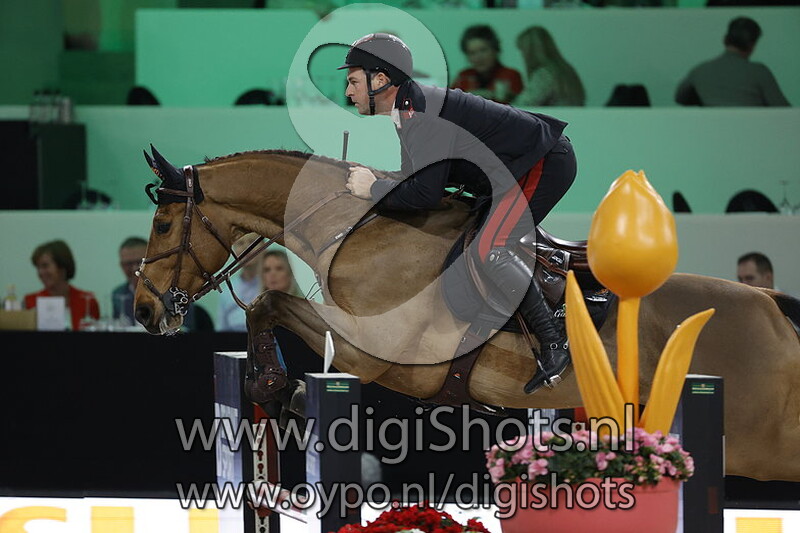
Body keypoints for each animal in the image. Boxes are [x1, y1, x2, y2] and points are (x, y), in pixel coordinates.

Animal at [133, 147, 800, 482]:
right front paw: (278, 389)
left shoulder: (382, 355)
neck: (359, 231)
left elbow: (272, 303)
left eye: (163, 224)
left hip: (756, 442)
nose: (143, 310)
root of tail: (768, 305)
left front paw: (278, 386)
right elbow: (268, 310)